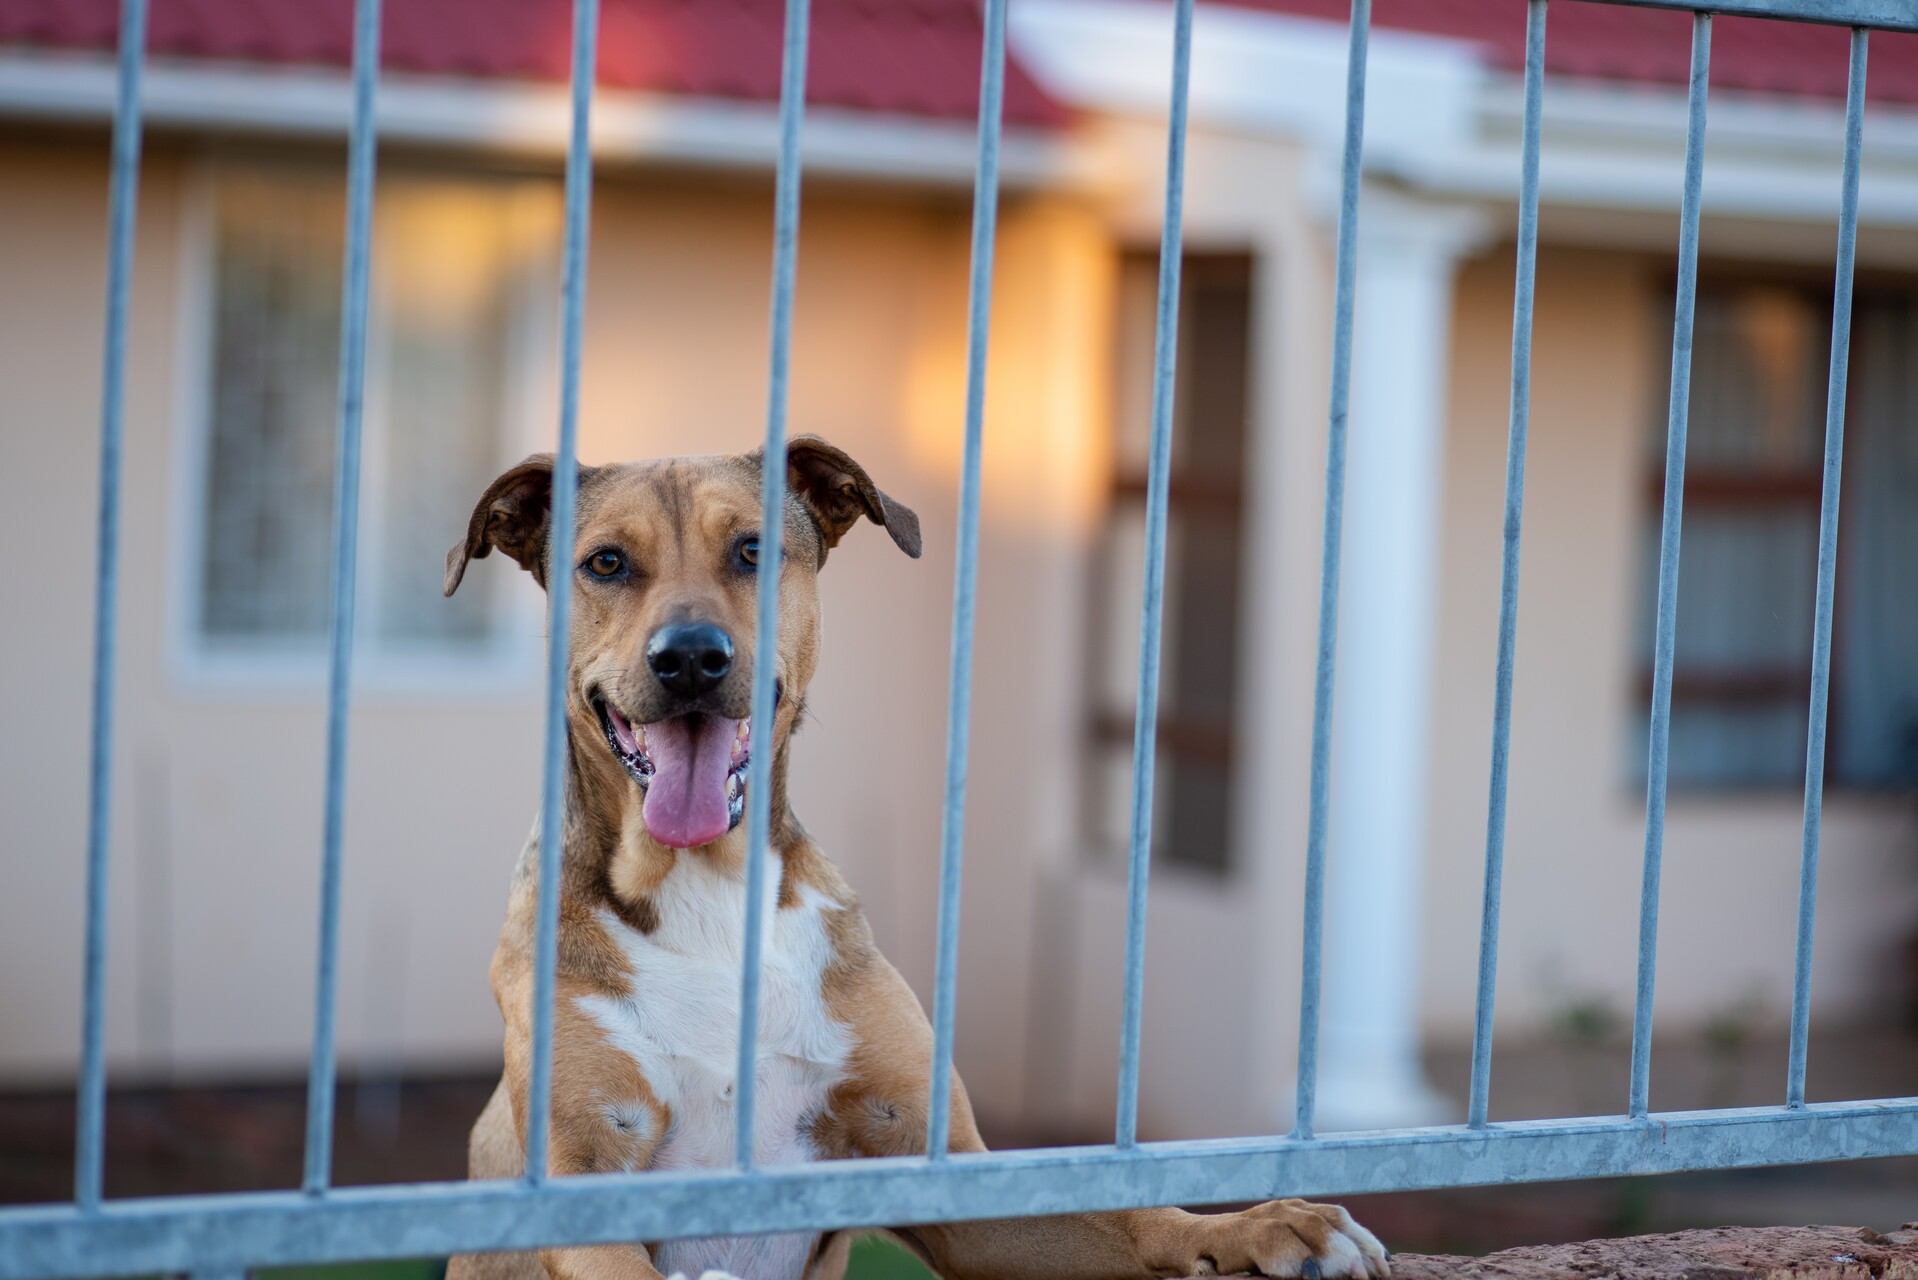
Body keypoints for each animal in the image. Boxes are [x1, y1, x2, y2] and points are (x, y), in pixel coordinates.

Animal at [441, 441, 1388, 1280]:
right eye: (606, 563)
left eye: (752, 549)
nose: (690, 657)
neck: (705, 889)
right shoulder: (581, 1188)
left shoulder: (934, 1163)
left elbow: (1131, 1216)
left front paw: (1266, 1224)